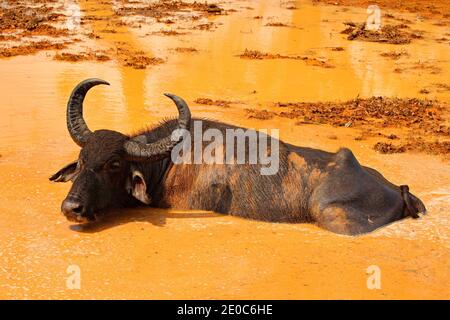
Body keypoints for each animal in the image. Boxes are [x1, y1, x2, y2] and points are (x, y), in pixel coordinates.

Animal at [50, 79, 426, 235]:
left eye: (113, 165)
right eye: (81, 160)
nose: (72, 208)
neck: (168, 162)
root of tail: (399, 190)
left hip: (332, 215)